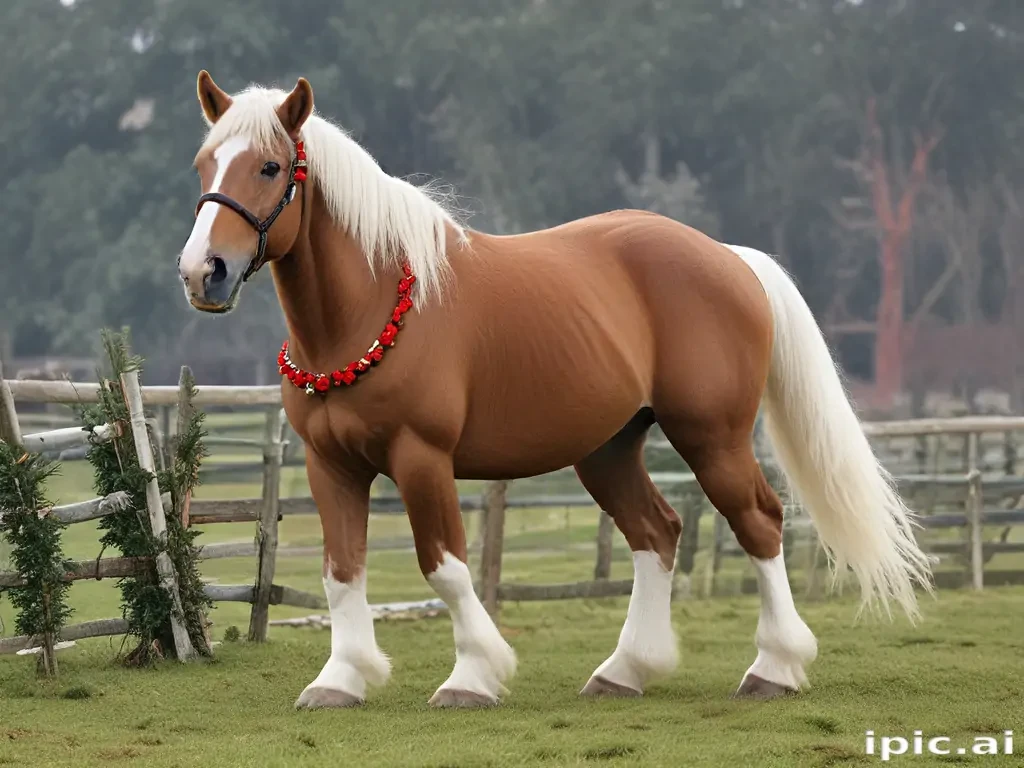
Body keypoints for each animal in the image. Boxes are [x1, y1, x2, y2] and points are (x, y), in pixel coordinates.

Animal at [176, 71, 933, 709]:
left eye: (271, 167)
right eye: (204, 165)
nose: (203, 271)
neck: (368, 308)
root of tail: (731, 258)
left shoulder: (422, 459)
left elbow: (445, 567)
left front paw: (473, 676)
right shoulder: (329, 465)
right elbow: (342, 570)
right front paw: (340, 680)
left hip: (711, 438)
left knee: (759, 522)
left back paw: (773, 667)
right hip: (608, 449)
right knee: (657, 531)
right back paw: (626, 670)